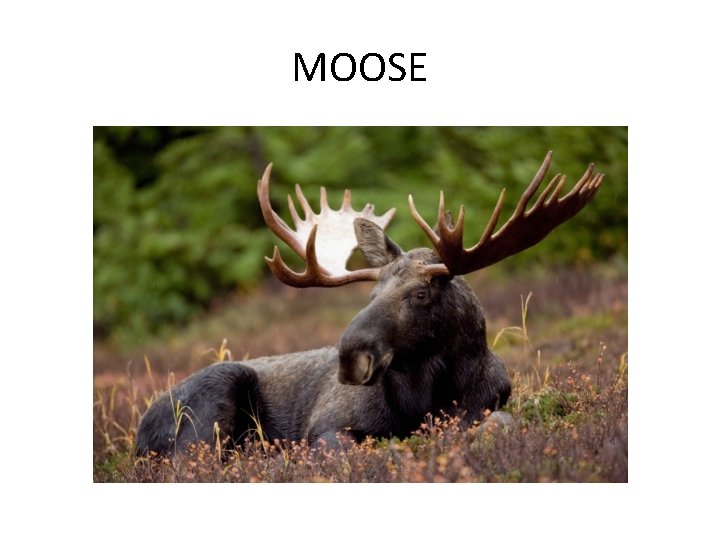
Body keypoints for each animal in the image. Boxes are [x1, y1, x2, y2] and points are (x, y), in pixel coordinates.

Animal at [135, 151, 604, 455]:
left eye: (420, 293)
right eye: (372, 293)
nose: (350, 358)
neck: (426, 400)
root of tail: (139, 430)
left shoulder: (488, 407)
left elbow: (501, 425)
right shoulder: (327, 427)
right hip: (208, 410)